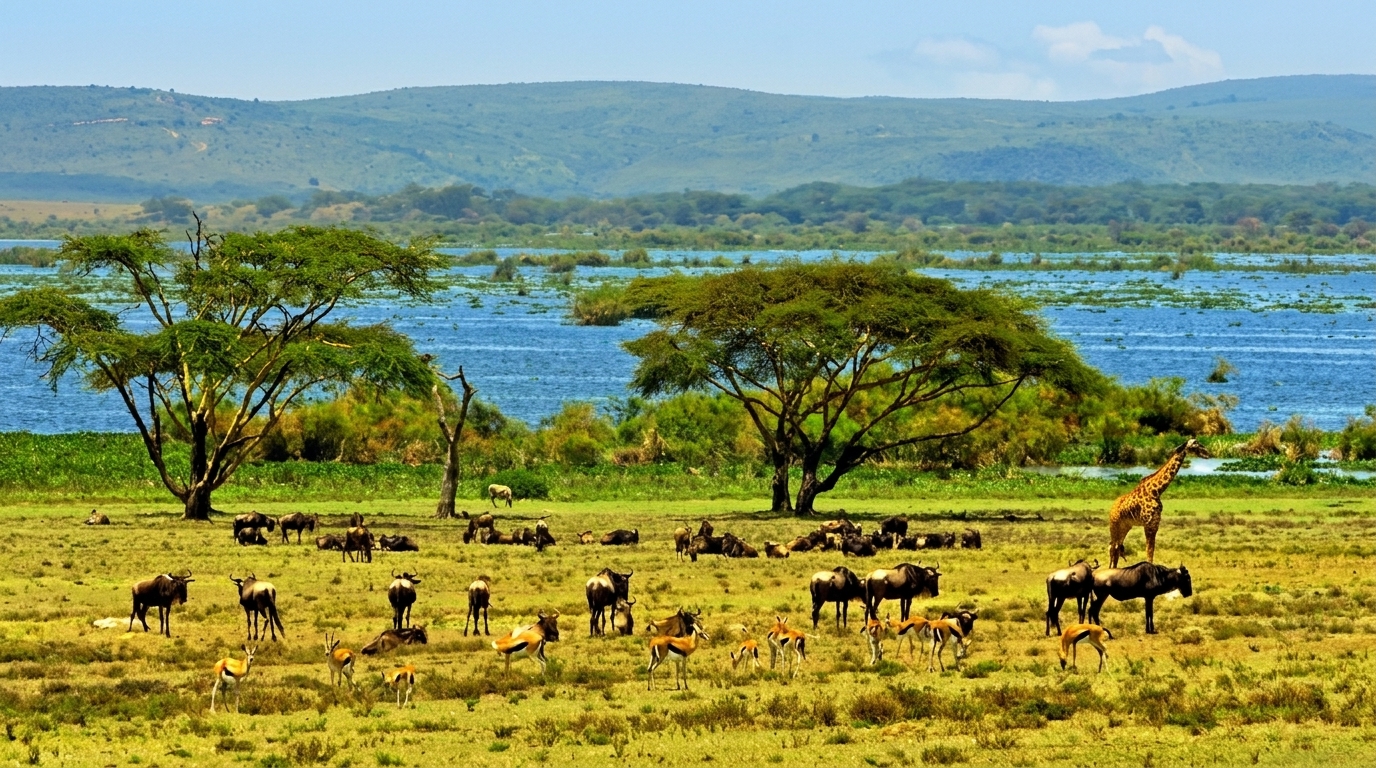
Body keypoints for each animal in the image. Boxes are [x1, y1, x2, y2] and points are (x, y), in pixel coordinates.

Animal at [1107, 437, 1210, 568]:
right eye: (1195, 444)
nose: (1207, 453)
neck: (1156, 491)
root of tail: (1112, 507)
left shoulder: (1155, 524)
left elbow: (1151, 551)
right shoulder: (1148, 524)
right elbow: (1149, 551)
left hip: (1125, 526)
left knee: (1117, 547)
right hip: (1114, 525)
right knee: (1112, 547)